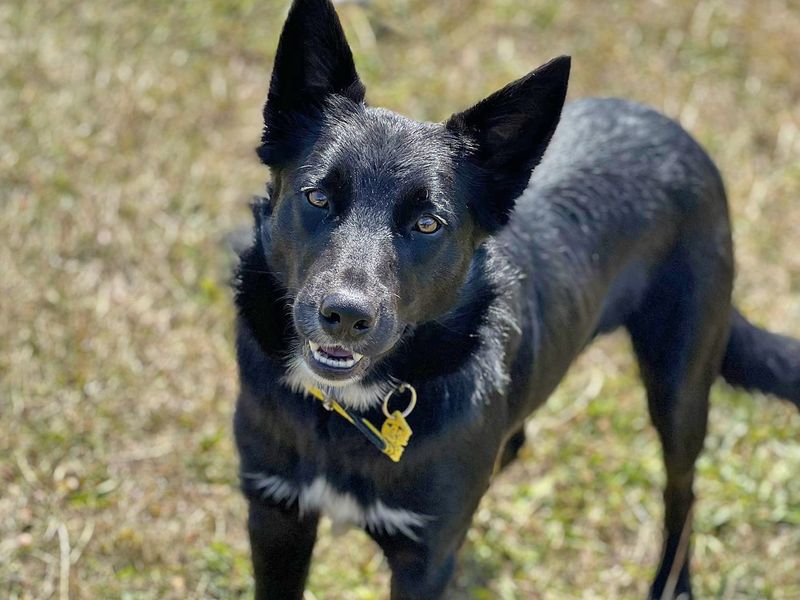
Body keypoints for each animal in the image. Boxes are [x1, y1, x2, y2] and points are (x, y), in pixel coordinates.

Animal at [233, 2, 800, 596]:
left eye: (427, 224)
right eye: (318, 197)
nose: (345, 316)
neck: (346, 409)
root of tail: (672, 128)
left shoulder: (424, 556)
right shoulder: (274, 515)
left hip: (680, 383)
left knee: (682, 488)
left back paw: (675, 581)